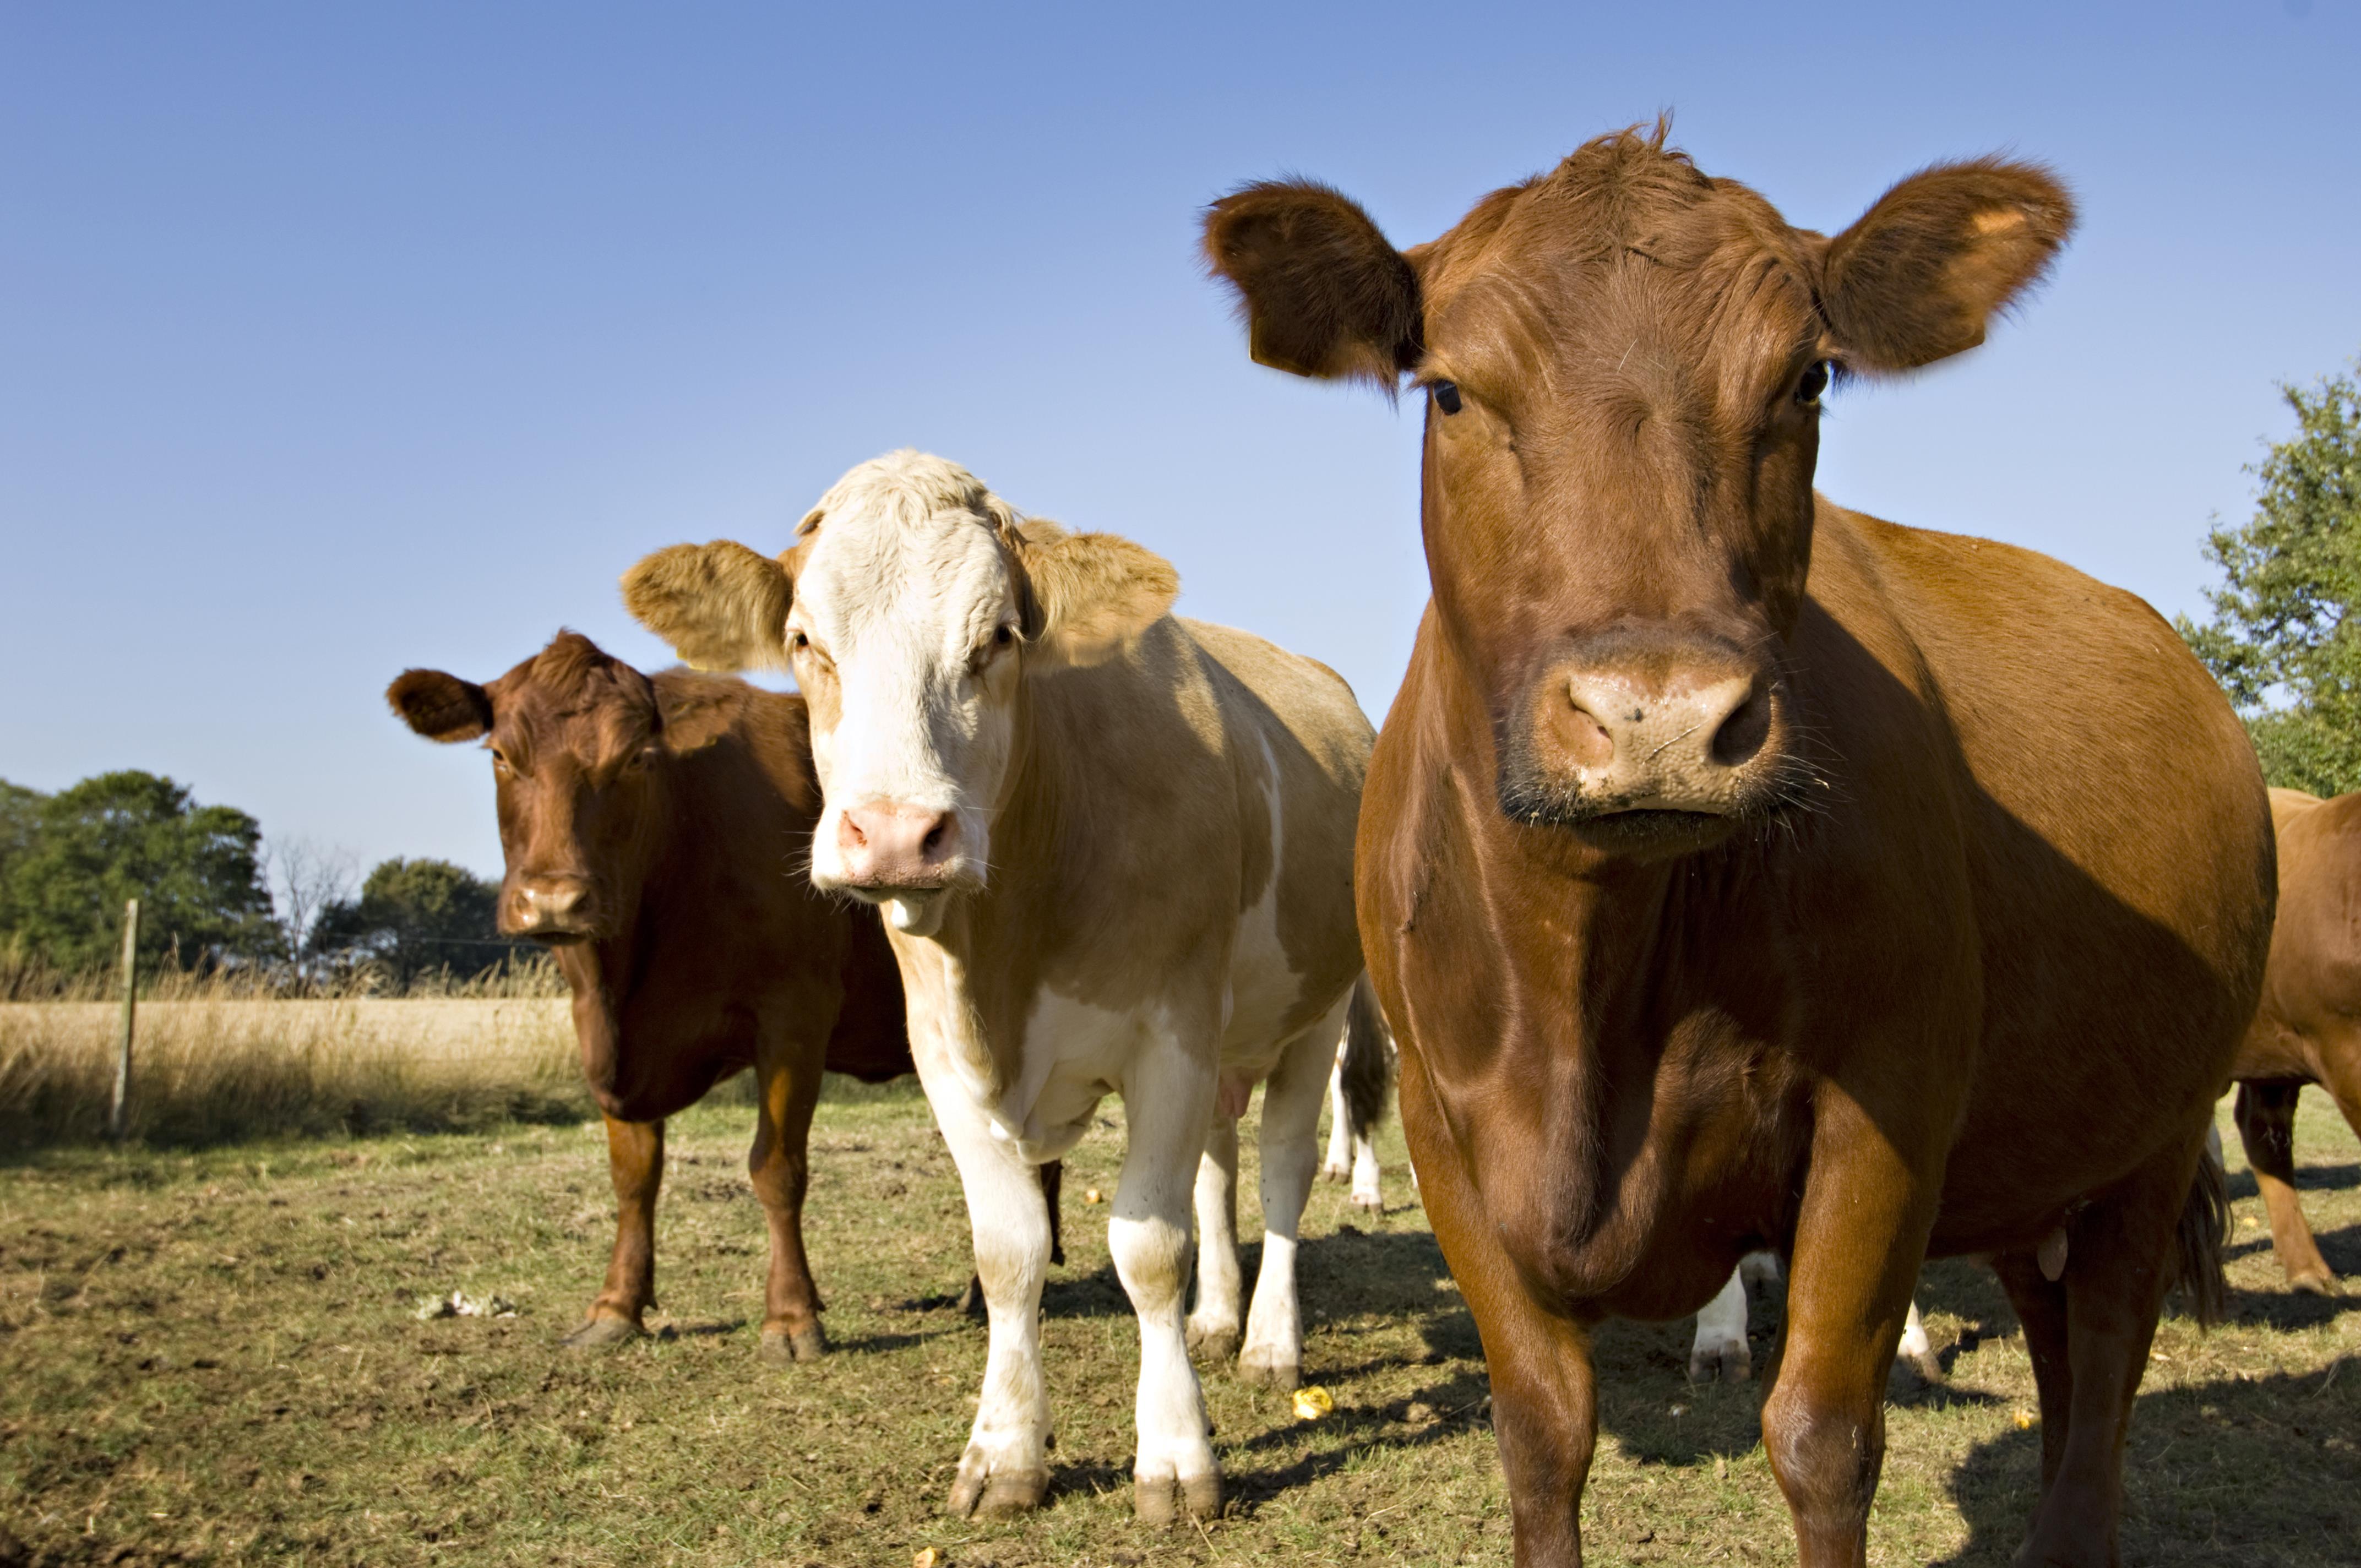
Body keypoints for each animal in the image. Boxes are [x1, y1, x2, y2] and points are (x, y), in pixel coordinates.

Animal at [618, 451, 1379, 1521]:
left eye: (999, 637)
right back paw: (1219, 1318)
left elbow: (1148, 1246)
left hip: (1315, 1010)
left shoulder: (1170, 1036)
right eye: (805, 640)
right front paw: (1005, 1450)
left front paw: (1175, 1455)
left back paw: (1270, 1339)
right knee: (1218, 1167)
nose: (897, 834)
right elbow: (1010, 1249)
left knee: (1279, 1171)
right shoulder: (943, 1054)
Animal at [1209, 126, 2276, 1567]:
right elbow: (1539, 1430)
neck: (1587, 984)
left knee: (2105, 1350)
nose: (1655, 717)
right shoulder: (1443, 1131)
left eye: (1805, 377)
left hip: (2155, 1133)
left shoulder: (1884, 1112)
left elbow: (1821, 1437)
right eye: (1448, 392)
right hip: (2034, 1155)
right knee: (2057, 1346)